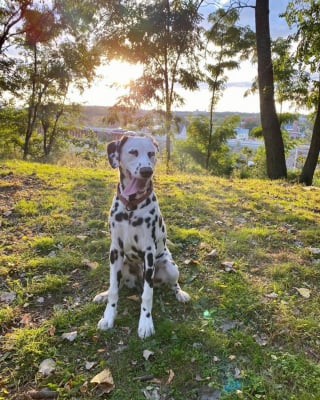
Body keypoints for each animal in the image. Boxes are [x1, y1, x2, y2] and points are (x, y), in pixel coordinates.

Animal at [95, 135, 190, 338]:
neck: (131, 208)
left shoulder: (149, 253)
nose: (147, 171)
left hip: (169, 266)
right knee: (117, 284)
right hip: (122, 264)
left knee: (173, 283)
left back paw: (180, 293)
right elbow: (114, 289)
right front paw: (108, 316)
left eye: (151, 153)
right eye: (133, 152)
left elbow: (148, 295)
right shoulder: (115, 251)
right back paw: (104, 294)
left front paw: (146, 323)